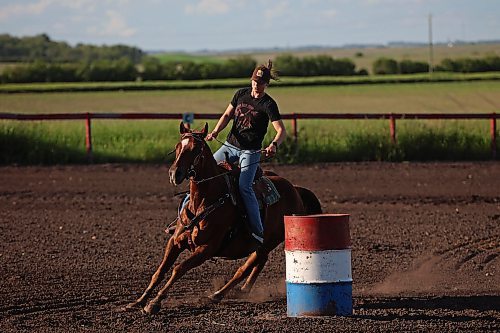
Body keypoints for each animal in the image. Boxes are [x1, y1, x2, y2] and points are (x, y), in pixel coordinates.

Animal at [124, 122, 320, 314]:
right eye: (178, 146)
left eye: (196, 149)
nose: (174, 174)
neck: (205, 200)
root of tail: (295, 190)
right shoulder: (175, 242)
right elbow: (159, 271)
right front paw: (138, 301)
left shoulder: (207, 248)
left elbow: (178, 269)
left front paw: (154, 303)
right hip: (264, 244)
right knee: (258, 261)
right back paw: (241, 290)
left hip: (271, 240)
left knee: (245, 267)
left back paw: (218, 294)